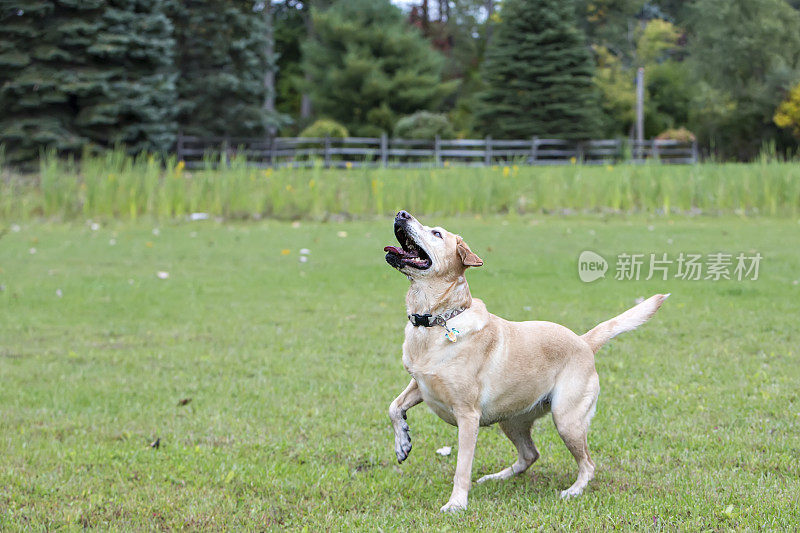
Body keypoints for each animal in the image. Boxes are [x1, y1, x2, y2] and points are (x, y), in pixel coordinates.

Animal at [384, 211, 664, 512]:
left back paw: (573, 490)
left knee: (588, 464)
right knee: (530, 454)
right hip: (511, 420)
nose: (401, 214)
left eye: (436, 233)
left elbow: (462, 467)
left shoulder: (468, 416)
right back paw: (497, 477)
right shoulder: (420, 383)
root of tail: (583, 342)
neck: (437, 321)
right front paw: (403, 442)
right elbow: (394, 407)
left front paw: (457, 503)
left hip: (566, 420)